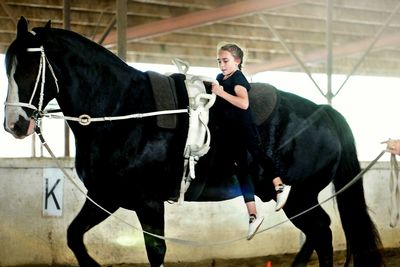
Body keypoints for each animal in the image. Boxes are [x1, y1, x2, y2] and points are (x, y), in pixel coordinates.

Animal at [3, 17, 384, 267]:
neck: (123, 110)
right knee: (318, 233)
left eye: (28, 67)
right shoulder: (105, 197)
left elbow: (156, 252)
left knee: (321, 232)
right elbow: (74, 238)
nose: (14, 124)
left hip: (301, 193)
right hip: (298, 197)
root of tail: (323, 111)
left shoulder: (148, 203)